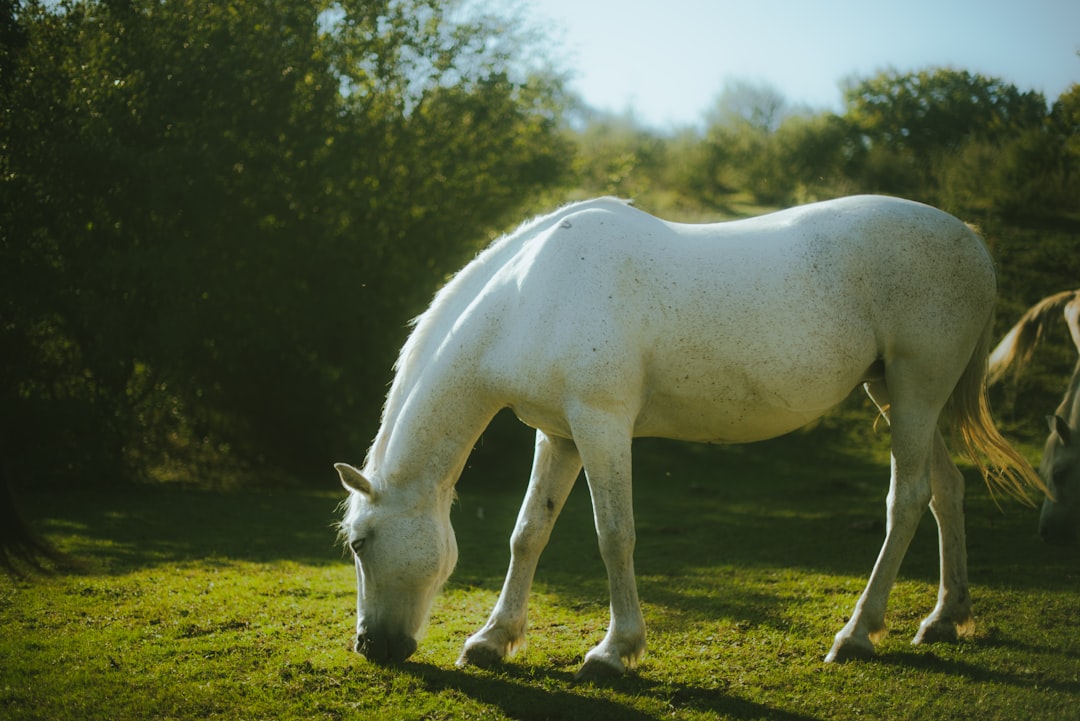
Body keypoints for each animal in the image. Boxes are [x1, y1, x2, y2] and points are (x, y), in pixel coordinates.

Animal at [335, 195, 1045, 679]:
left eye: (361, 542)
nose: (373, 647)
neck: (532, 296)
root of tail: (970, 240)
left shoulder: (602, 425)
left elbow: (613, 536)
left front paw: (613, 652)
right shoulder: (559, 436)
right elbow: (528, 533)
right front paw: (492, 640)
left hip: (917, 390)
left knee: (909, 498)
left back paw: (857, 635)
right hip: (896, 392)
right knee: (947, 490)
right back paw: (945, 618)